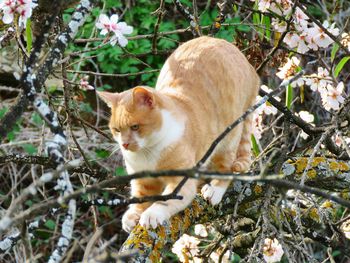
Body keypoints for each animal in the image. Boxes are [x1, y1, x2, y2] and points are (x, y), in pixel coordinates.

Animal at [97, 35, 258, 233]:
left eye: (135, 127)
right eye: (117, 130)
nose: (124, 144)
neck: (148, 153)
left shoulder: (180, 183)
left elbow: (164, 202)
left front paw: (151, 215)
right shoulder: (143, 182)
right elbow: (141, 199)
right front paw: (132, 215)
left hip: (228, 137)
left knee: (225, 167)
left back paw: (214, 190)